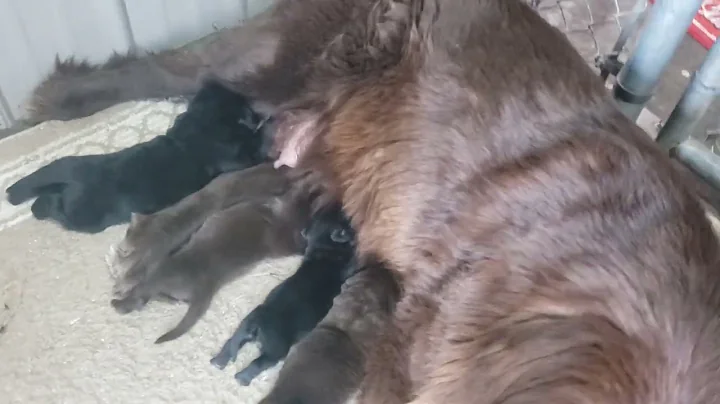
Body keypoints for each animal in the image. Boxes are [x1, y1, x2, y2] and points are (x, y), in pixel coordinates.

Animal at [4, 79, 270, 234]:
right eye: (245, 104)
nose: (255, 110)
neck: (203, 122)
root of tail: (73, 176)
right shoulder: (236, 156)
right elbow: (251, 150)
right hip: (82, 216)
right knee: (54, 206)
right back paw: (39, 207)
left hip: (63, 169)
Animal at [210, 204, 356, 386]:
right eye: (341, 220)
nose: (343, 210)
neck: (324, 247)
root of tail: (258, 322)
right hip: (277, 348)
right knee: (260, 362)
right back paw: (242, 379)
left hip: (243, 329)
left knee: (231, 343)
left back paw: (218, 361)